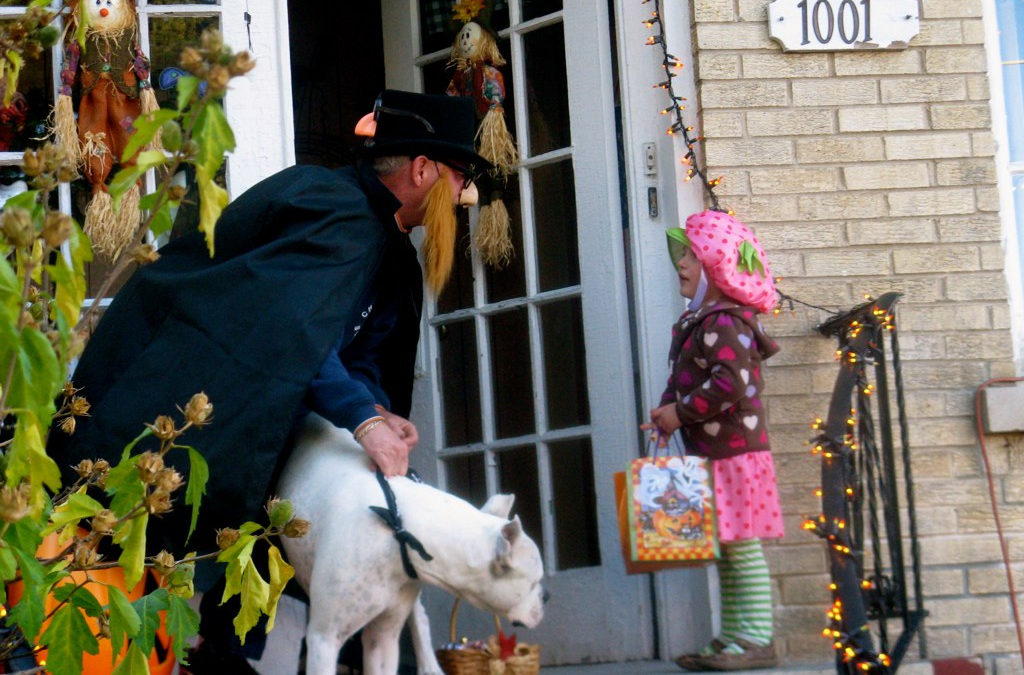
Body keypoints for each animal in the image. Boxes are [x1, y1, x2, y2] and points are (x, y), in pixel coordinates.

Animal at [276, 417, 548, 675]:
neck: (397, 526)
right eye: (534, 582)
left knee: (420, 617)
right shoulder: (324, 639)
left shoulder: (383, 637)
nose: (547, 596)